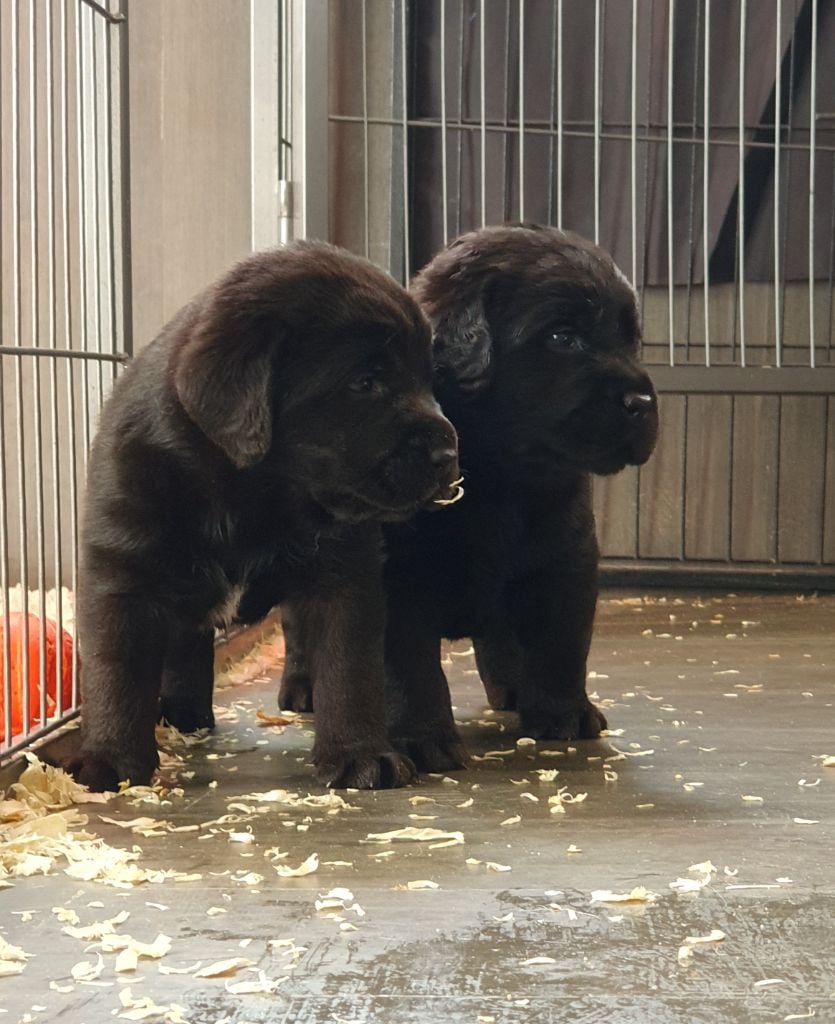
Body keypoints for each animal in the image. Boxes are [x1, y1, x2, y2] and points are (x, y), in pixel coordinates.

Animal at [71, 239, 461, 790]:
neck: (248, 497)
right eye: (364, 382)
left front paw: (360, 755)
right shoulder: (121, 571)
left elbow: (349, 666)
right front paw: (110, 761)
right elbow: (116, 670)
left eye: (428, 378)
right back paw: (185, 709)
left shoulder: (345, 573)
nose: (448, 454)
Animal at [280, 224, 659, 770]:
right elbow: (411, 665)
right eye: (563, 338)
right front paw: (424, 739)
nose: (642, 402)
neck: (502, 480)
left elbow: (562, 641)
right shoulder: (398, 577)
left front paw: (564, 714)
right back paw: (303, 687)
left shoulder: (567, 557)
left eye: (631, 339)